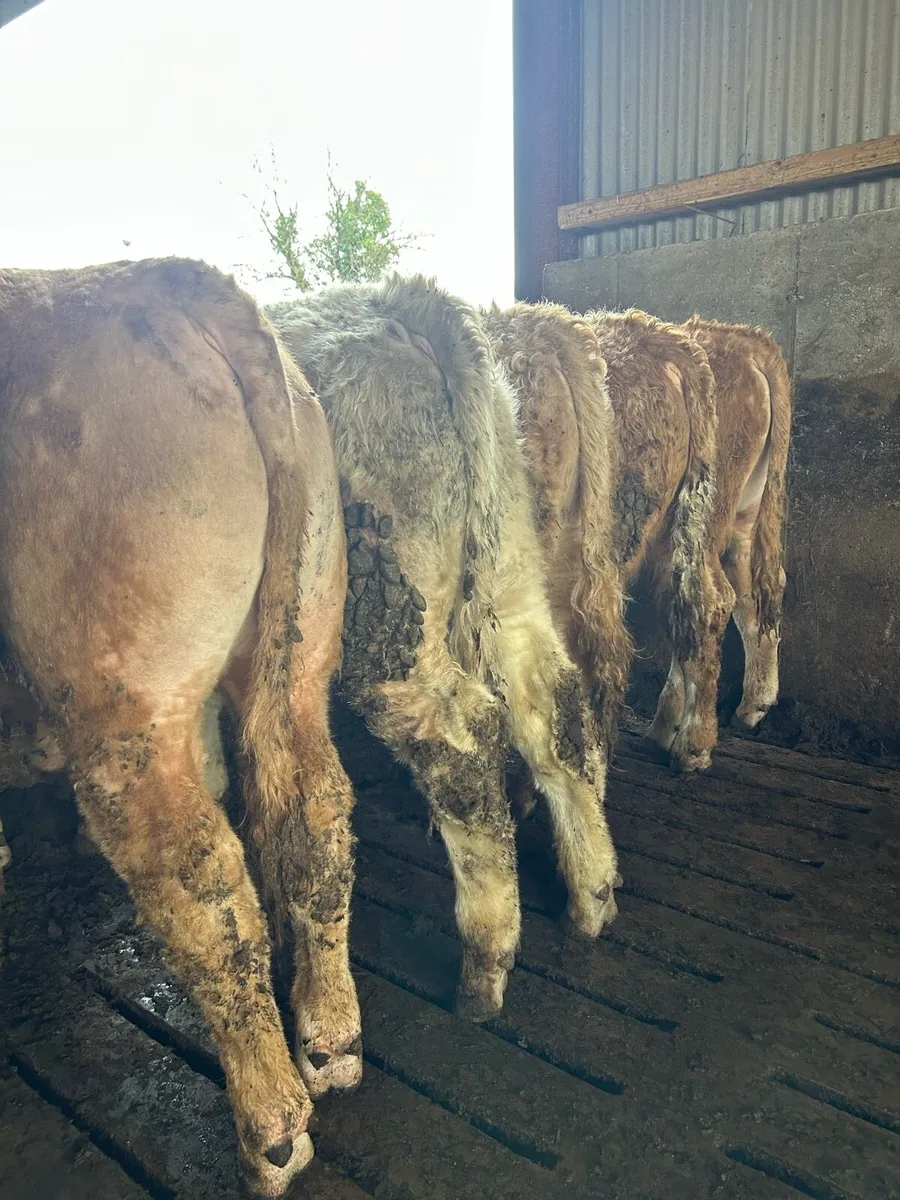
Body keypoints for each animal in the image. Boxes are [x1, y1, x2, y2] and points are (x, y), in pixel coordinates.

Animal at [0, 258, 361, 1196]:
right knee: (316, 809)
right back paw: (329, 1037)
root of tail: (175, 282)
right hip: (301, 644)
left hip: (125, 713)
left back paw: (272, 1133)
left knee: (201, 880)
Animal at [271, 275, 620, 1023]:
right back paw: (591, 893)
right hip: (508, 564)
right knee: (556, 709)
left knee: (460, 744)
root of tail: (405, 303)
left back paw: (484, 966)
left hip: (392, 618)